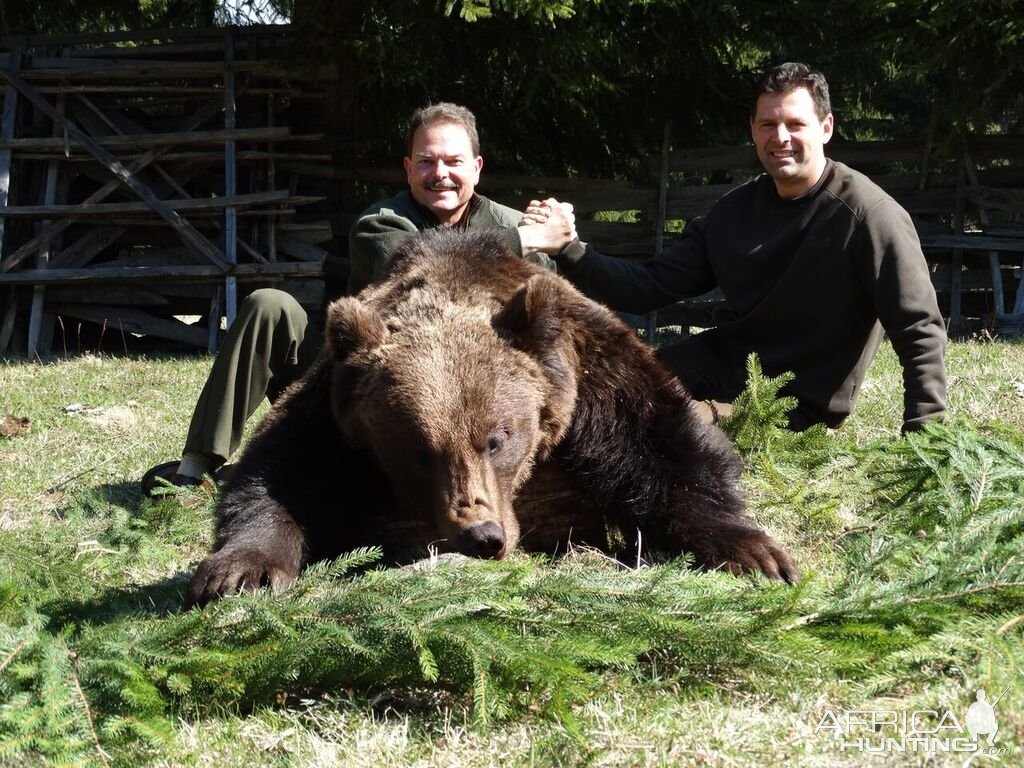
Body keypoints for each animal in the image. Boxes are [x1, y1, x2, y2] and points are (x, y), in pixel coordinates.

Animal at [186, 228, 798, 606]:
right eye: (418, 450)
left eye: (498, 437)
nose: (479, 535)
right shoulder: (333, 418)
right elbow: (277, 475)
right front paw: (240, 571)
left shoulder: (598, 385)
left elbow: (670, 447)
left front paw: (755, 554)